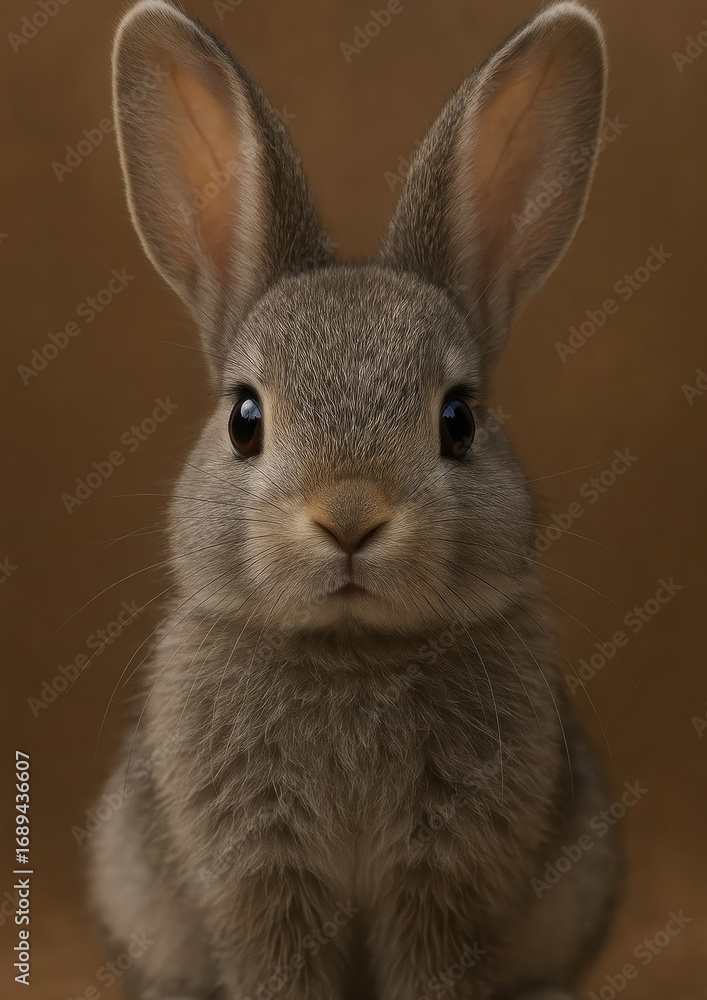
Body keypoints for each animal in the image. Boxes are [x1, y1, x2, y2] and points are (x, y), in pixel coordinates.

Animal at [89, 1, 622, 998]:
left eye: (457, 420)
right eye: (245, 419)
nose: (348, 517)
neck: (350, 650)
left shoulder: (441, 879)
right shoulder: (260, 877)